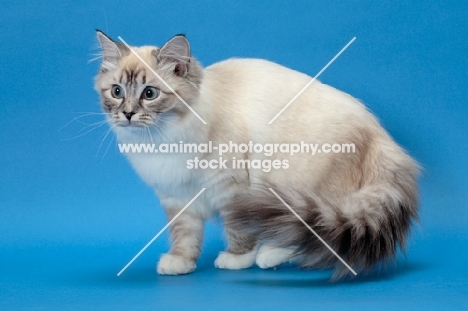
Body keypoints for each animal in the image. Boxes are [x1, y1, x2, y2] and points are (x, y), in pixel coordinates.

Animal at [93, 31, 418, 280]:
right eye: (117, 92)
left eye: (149, 94)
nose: (128, 114)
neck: (162, 141)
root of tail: (378, 133)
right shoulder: (177, 198)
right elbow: (184, 235)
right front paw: (180, 262)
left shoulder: (232, 189)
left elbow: (237, 228)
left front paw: (237, 258)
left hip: (295, 186)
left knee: (318, 230)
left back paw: (269, 255)